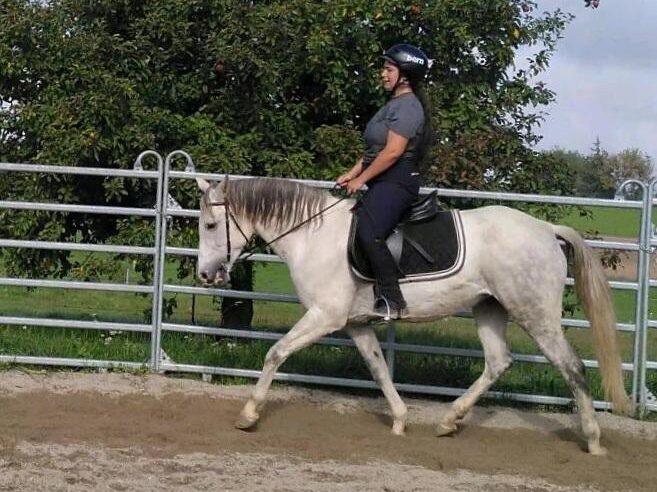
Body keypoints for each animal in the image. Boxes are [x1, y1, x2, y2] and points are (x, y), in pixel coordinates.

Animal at [195, 176, 632, 455]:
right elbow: (379, 370)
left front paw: (249, 415)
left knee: (572, 367)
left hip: (536, 314)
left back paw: (593, 440)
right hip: (489, 308)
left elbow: (276, 353)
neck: (312, 235)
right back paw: (450, 420)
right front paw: (401, 420)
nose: (205, 274)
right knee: (498, 361)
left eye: (211, 225)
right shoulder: (355, 324)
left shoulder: (325, 317)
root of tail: (546, 230)